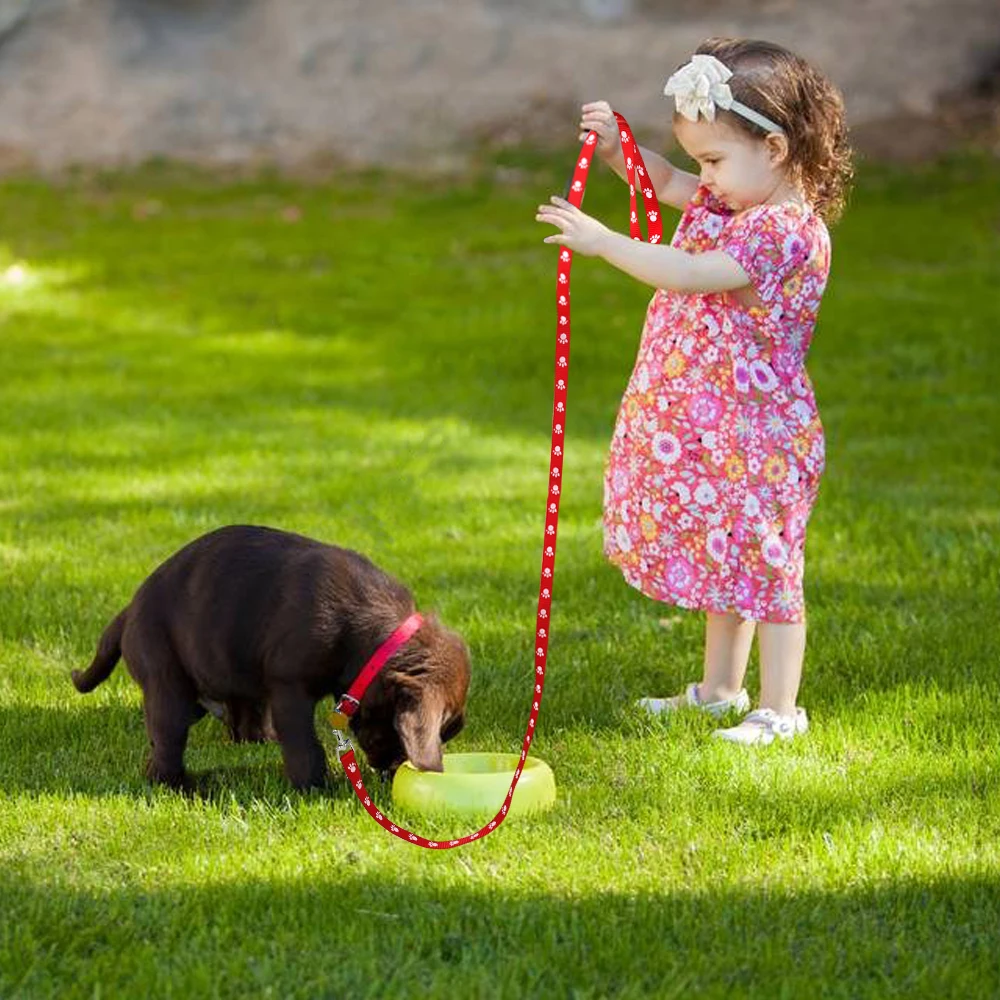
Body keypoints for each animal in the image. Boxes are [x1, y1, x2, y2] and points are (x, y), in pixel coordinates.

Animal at [70, 528, 468, 792]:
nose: (392, 773)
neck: (373, 638)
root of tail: (130, 609)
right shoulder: (289, 687)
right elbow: (304, 745)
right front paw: (314, 787)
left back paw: (257, 741)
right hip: (166, 679)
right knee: (167, 740)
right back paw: (180, 785)